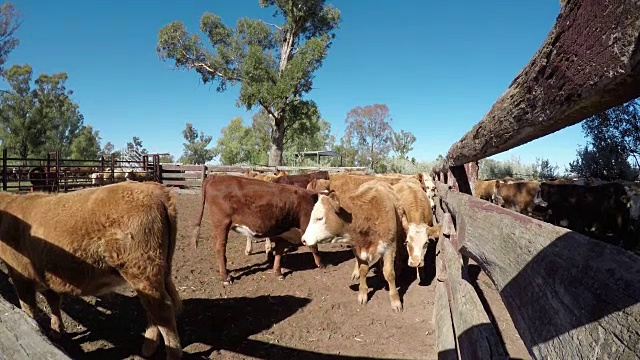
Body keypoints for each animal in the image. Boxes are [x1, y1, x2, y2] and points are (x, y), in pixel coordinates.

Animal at [0, 183, 182, 360]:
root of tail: (155, 189)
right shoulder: (47, 275)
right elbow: (54, 302)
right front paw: (56, 331)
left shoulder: (20, 277)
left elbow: (28, 310)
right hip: (156, 274)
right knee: (153, 309)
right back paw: (148, 348)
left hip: (142, 270)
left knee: (162, 309)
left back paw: (169, 354)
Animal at [191, 176, 328, 286]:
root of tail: (214, 177)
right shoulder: (306, 226)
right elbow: (314, 247)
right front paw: (321, 264)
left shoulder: (283, 231)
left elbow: (279, 251)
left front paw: (277, 272)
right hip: (222, 224)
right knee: (220, 247)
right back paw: (225, 278)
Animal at [300, 180, 404, 312]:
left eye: (319, 218)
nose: (303, 240)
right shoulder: (357, 248)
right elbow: (363, 269)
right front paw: (362, 293)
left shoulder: (389, 247)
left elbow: (389, 274)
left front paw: (395, 300)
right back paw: (356, 272)